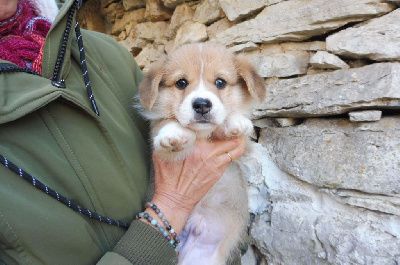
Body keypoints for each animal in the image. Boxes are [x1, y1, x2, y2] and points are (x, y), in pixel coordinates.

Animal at [138, 42, 266, 262]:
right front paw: (174, 132)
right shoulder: (158, 143)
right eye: (181, 83)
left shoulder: (245, 145)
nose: (202, 105)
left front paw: (235, 122)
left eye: (220, 82)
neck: (202, 134)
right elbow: (164, 122)